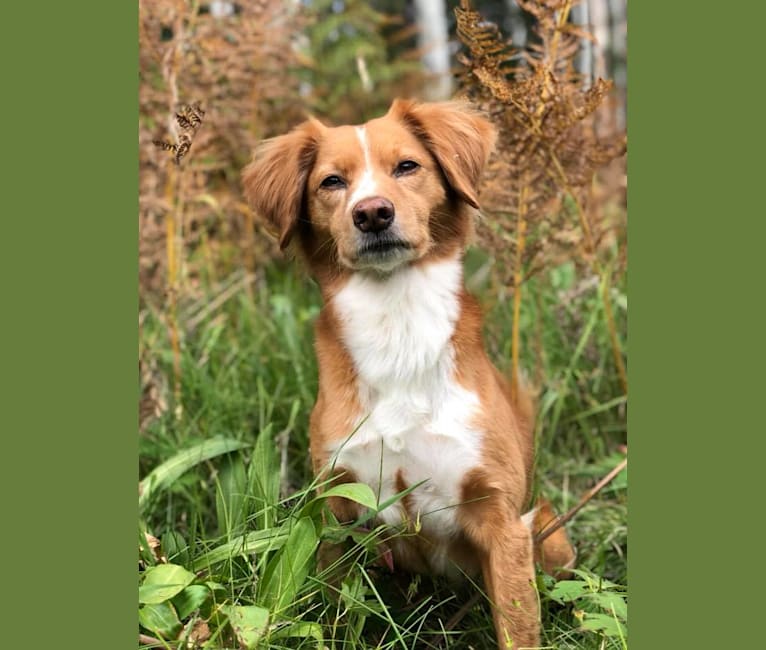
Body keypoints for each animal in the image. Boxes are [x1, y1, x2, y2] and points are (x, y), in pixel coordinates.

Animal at [243, 98, 572, 644]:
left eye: (407, 166)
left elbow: (517, 626)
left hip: (548, 533)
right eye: (332, 182)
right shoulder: (337, 509)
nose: (373, 213)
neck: (397, 324)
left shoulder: (500, 519)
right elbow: (338, 615)